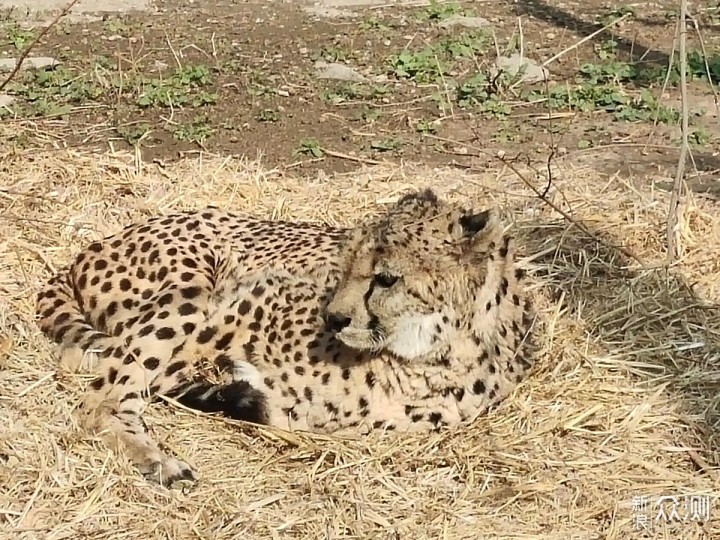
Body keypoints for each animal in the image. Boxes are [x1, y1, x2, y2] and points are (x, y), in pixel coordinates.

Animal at [36, 189, 536, 486]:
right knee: (97, 401)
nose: (333, 318)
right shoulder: (243, 299)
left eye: (386, 278)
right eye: (344, 264)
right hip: (189, 292)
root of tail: (94, 247)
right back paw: (158, 461)